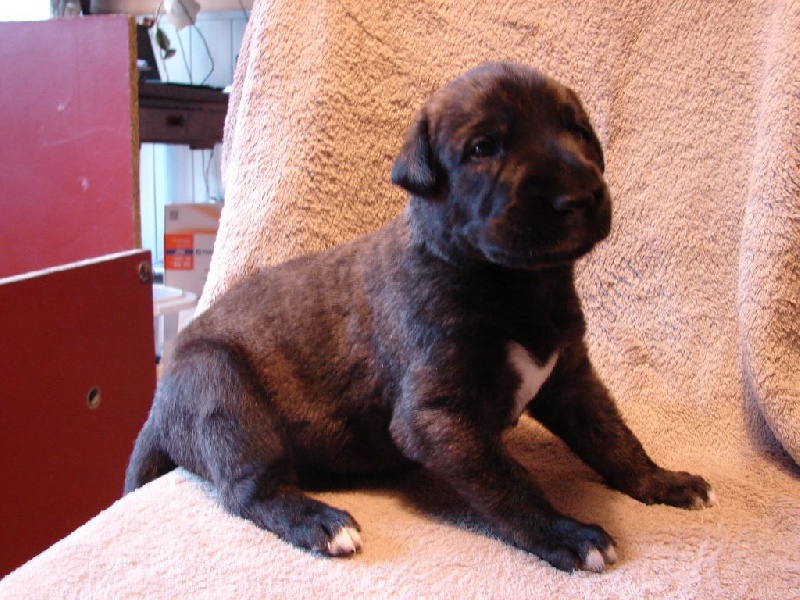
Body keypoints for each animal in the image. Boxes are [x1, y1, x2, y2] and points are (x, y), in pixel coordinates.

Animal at [125, 62, 716, 573]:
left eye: (577, 131)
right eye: (483, 148)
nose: (577, 196)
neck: (514, 283)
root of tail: (155, 410)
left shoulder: (571, 378)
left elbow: (612, 436)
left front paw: (661, 481)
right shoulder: (437, 415)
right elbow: (510, 480)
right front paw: (564, 532)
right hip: (221, 387)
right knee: (249, 489)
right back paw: (322, 522)